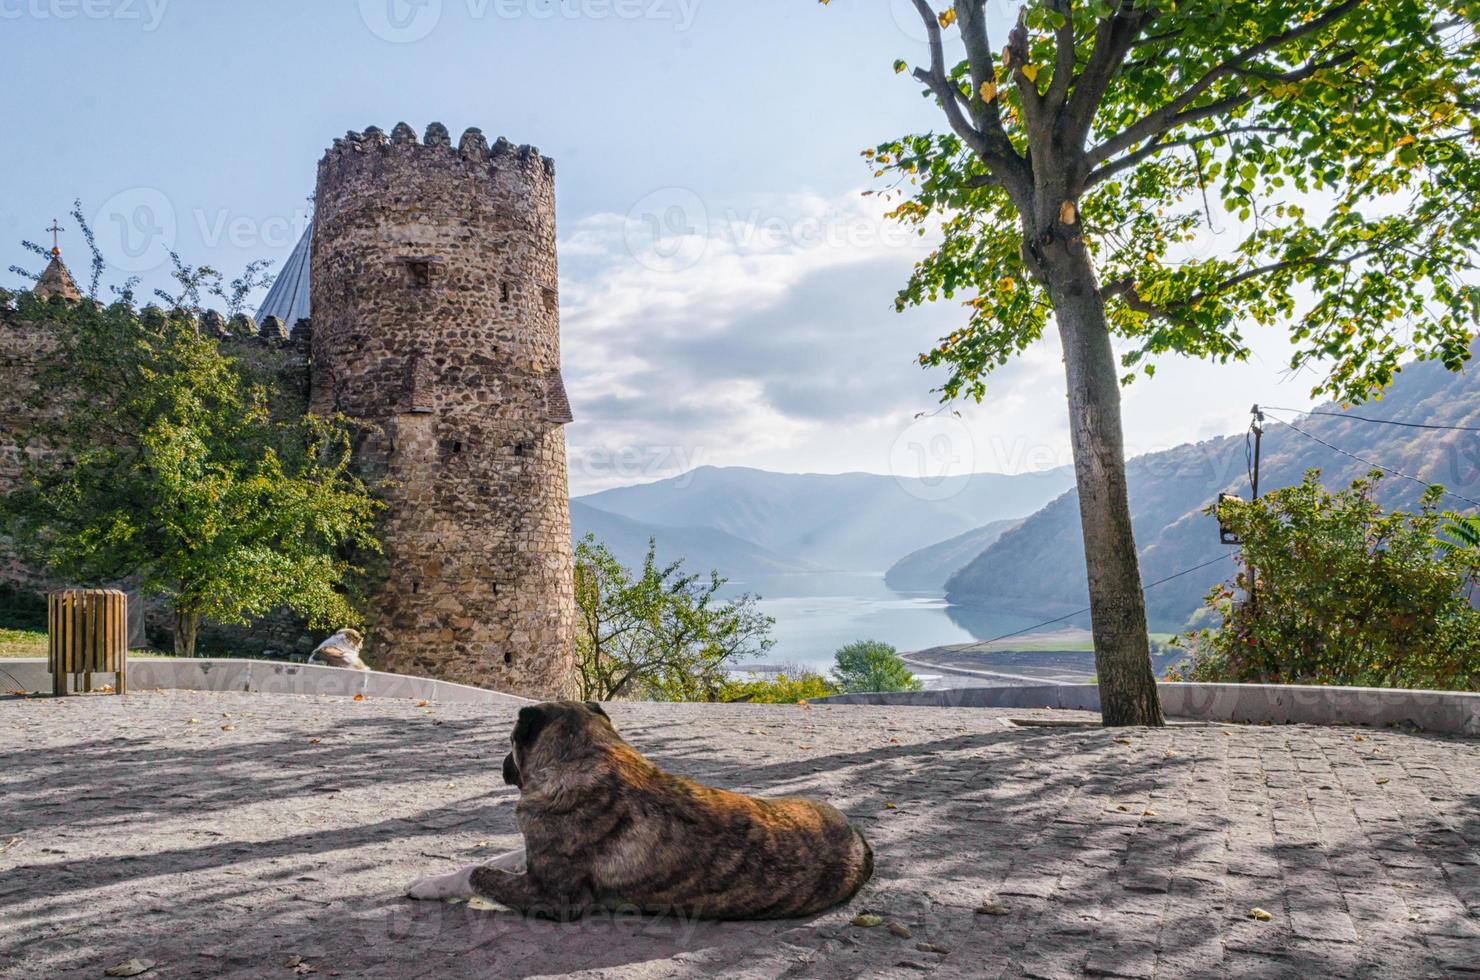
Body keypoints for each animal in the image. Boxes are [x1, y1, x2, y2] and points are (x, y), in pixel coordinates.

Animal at [405, 707, 870, 923]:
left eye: (511, 740)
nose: (502, 763)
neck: (592, 754)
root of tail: (862, 843)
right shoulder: (538, 850)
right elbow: (488, 860)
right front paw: (431, 882)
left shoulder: (554, 897)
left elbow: (480, 872)